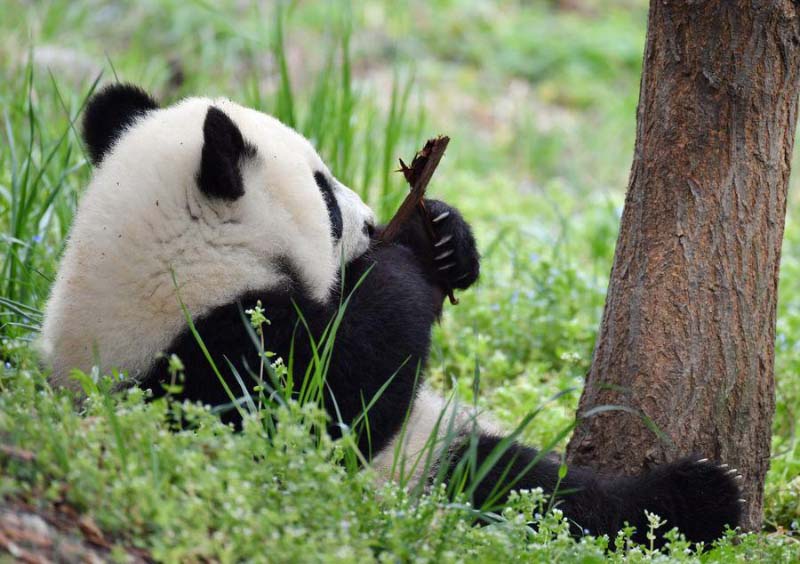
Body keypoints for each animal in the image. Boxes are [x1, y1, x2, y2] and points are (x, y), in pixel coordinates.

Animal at [40, 83, 744, 548]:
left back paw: (698, 498)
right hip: (417, 477)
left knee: (530, 481)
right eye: (325, 195)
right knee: (525, 496)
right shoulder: (208, 364)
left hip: (436, 445)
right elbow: (326, 408)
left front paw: (445, 237)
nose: (374, 221)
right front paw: (402, 266)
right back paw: (704, 498)